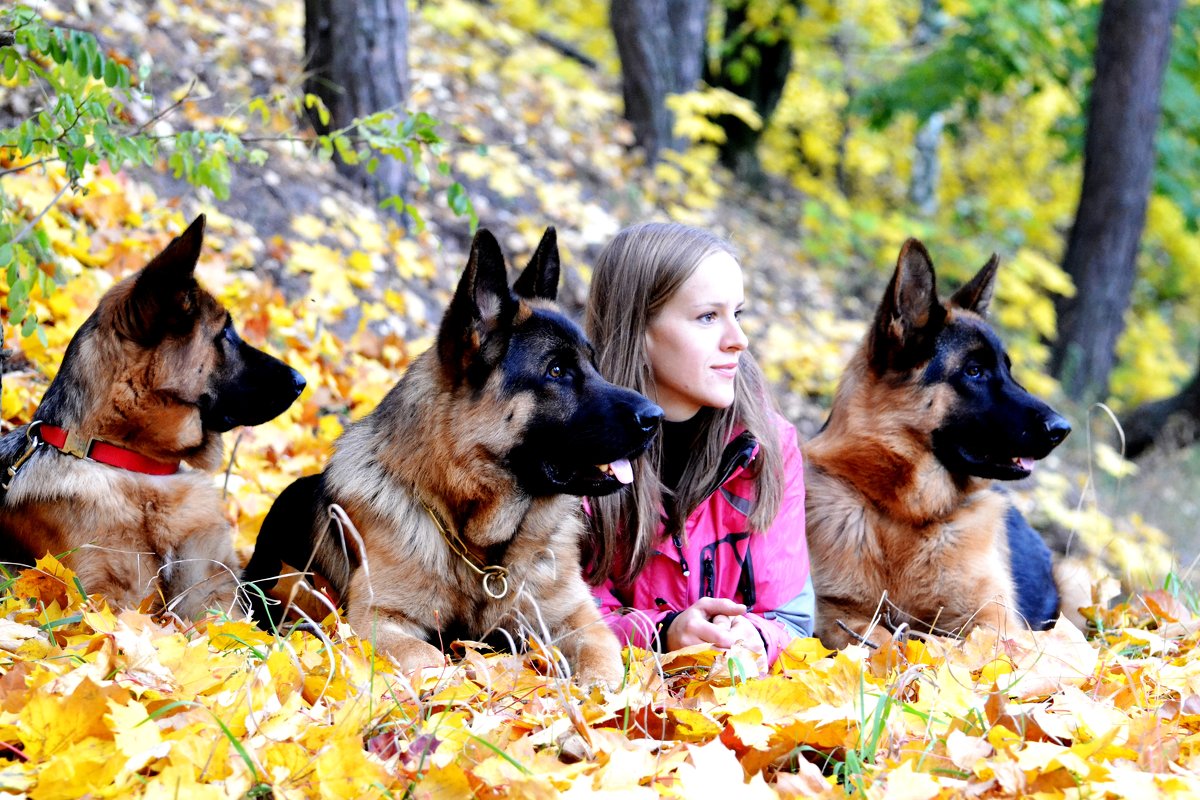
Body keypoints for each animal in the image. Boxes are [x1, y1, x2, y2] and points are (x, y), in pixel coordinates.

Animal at [241, 227, 657, 686]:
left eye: (594, 365)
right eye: (556, 371)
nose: (656, 418)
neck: (481, 549)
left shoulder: (580, 618)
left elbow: (604, 662)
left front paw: (603, 696)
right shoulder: (378, 619)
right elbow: (431, 660)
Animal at [806, 237, 1089, 652]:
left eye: (1008, 370)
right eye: (974, 371)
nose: (1062, 429)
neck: (908, 516)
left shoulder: (993, 619)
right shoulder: (838, 614)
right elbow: (881, 641)